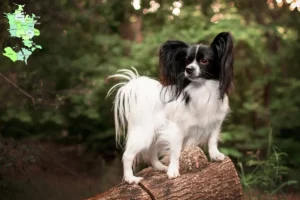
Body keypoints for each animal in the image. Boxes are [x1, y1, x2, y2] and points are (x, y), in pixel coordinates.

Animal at [107, 31, 234, 184]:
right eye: (187, 62)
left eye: (204, 61)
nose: (189, 69)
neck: (202, 89)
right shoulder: (177, 129)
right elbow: (175, 152)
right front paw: (173, 171)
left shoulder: (215, 123)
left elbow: (212, 140)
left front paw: (215, 155)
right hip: (144, 133)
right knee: (128, 155)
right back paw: (130, 178)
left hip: (154, 133)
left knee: (151, 152)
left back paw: (160, 167)